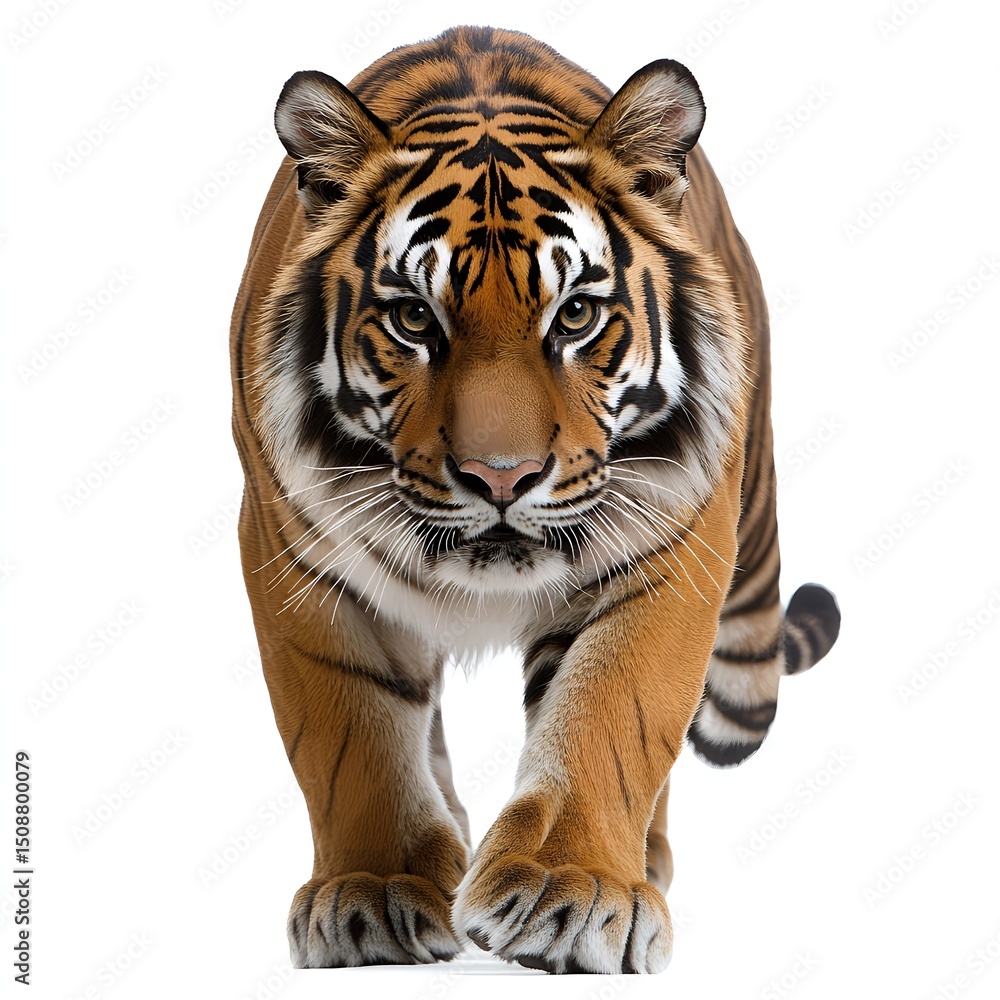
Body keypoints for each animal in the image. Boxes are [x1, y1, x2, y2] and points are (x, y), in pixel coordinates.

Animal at [230, 25, 840, 975]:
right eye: (414, 319)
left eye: (576, 315)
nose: (501, 477)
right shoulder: (293, 555)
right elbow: (350, 736)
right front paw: (374, 891)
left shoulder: (673, 539)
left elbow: (612, 714)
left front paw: (572, 890)